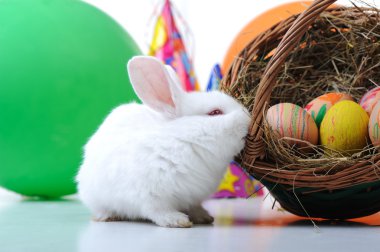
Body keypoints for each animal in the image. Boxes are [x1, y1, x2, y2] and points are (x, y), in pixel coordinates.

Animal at [75, 56, 251, 227]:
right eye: (215, 112)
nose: (248, 119)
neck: (184, 140)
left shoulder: (193, 197)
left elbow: (194, 207)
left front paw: (204, 217)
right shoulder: (149, 195)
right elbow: (157, 211)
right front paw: (177, 220)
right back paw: (107, 217)